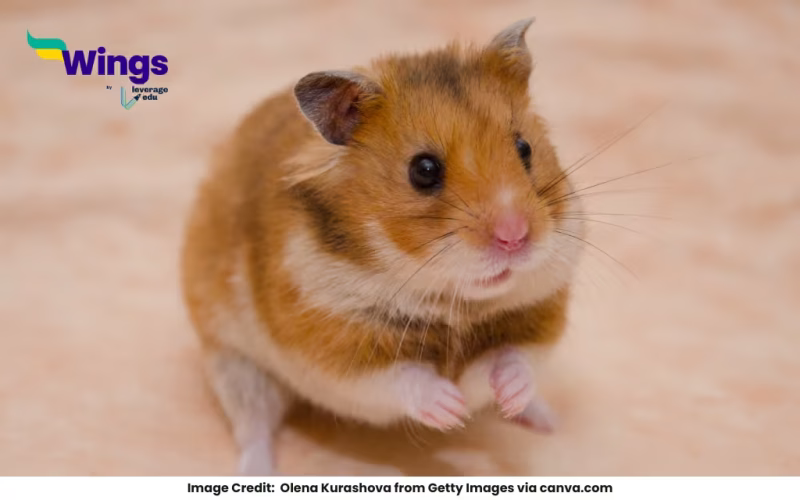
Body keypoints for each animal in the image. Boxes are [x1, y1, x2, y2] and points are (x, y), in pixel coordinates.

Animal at [181, 18, 584, 475]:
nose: (515, 237)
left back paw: (545, 420)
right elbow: (403, 378)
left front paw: (502, 397)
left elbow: (513, 359)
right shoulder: (333, 348)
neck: (454, 303)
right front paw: (452, 410)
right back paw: (257, 470)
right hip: (234, 363)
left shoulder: (538, 316)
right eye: (423, 170)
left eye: (524, 148)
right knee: (253, 425)